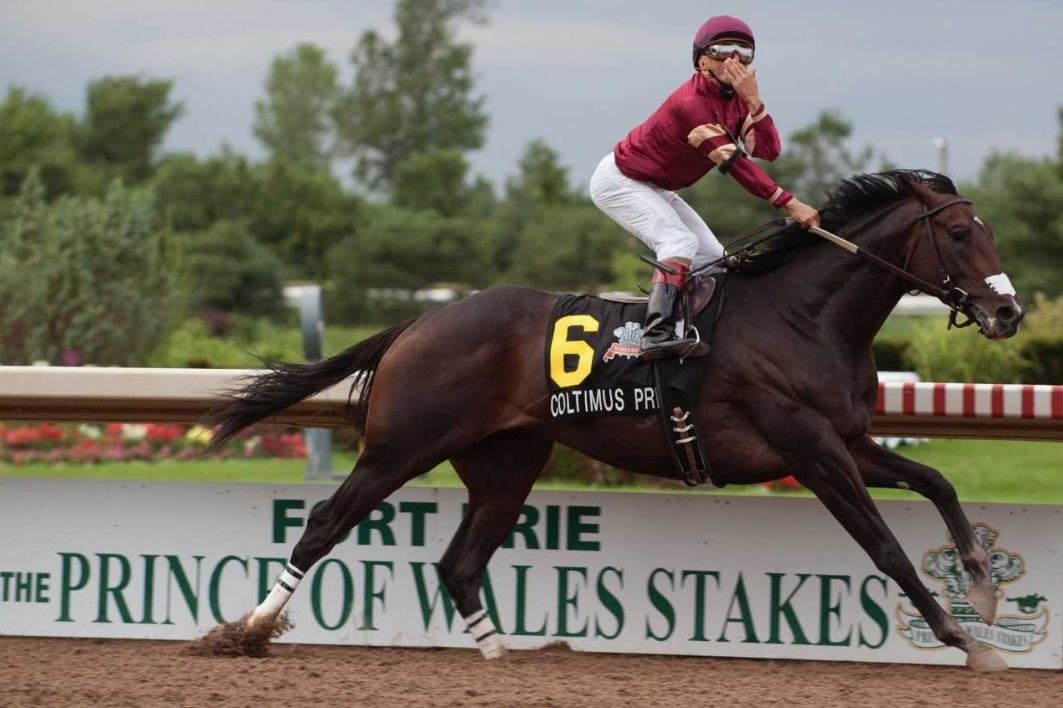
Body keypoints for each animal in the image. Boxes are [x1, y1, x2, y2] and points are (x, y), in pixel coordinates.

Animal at [200, 167, 1020, 671]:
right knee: (323, 525)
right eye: (958, 235)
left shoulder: (849, 439)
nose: (1008, 312)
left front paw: (980, 586)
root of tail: (417, 324)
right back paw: (246, 630)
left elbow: (937, 481)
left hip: (505, 465)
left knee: (459, 562)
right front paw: (963, 637)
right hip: (399, 446)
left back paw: (499, 655)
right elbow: (884, 546)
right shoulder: (811, 448)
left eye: (987, 231)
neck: (802, 317)